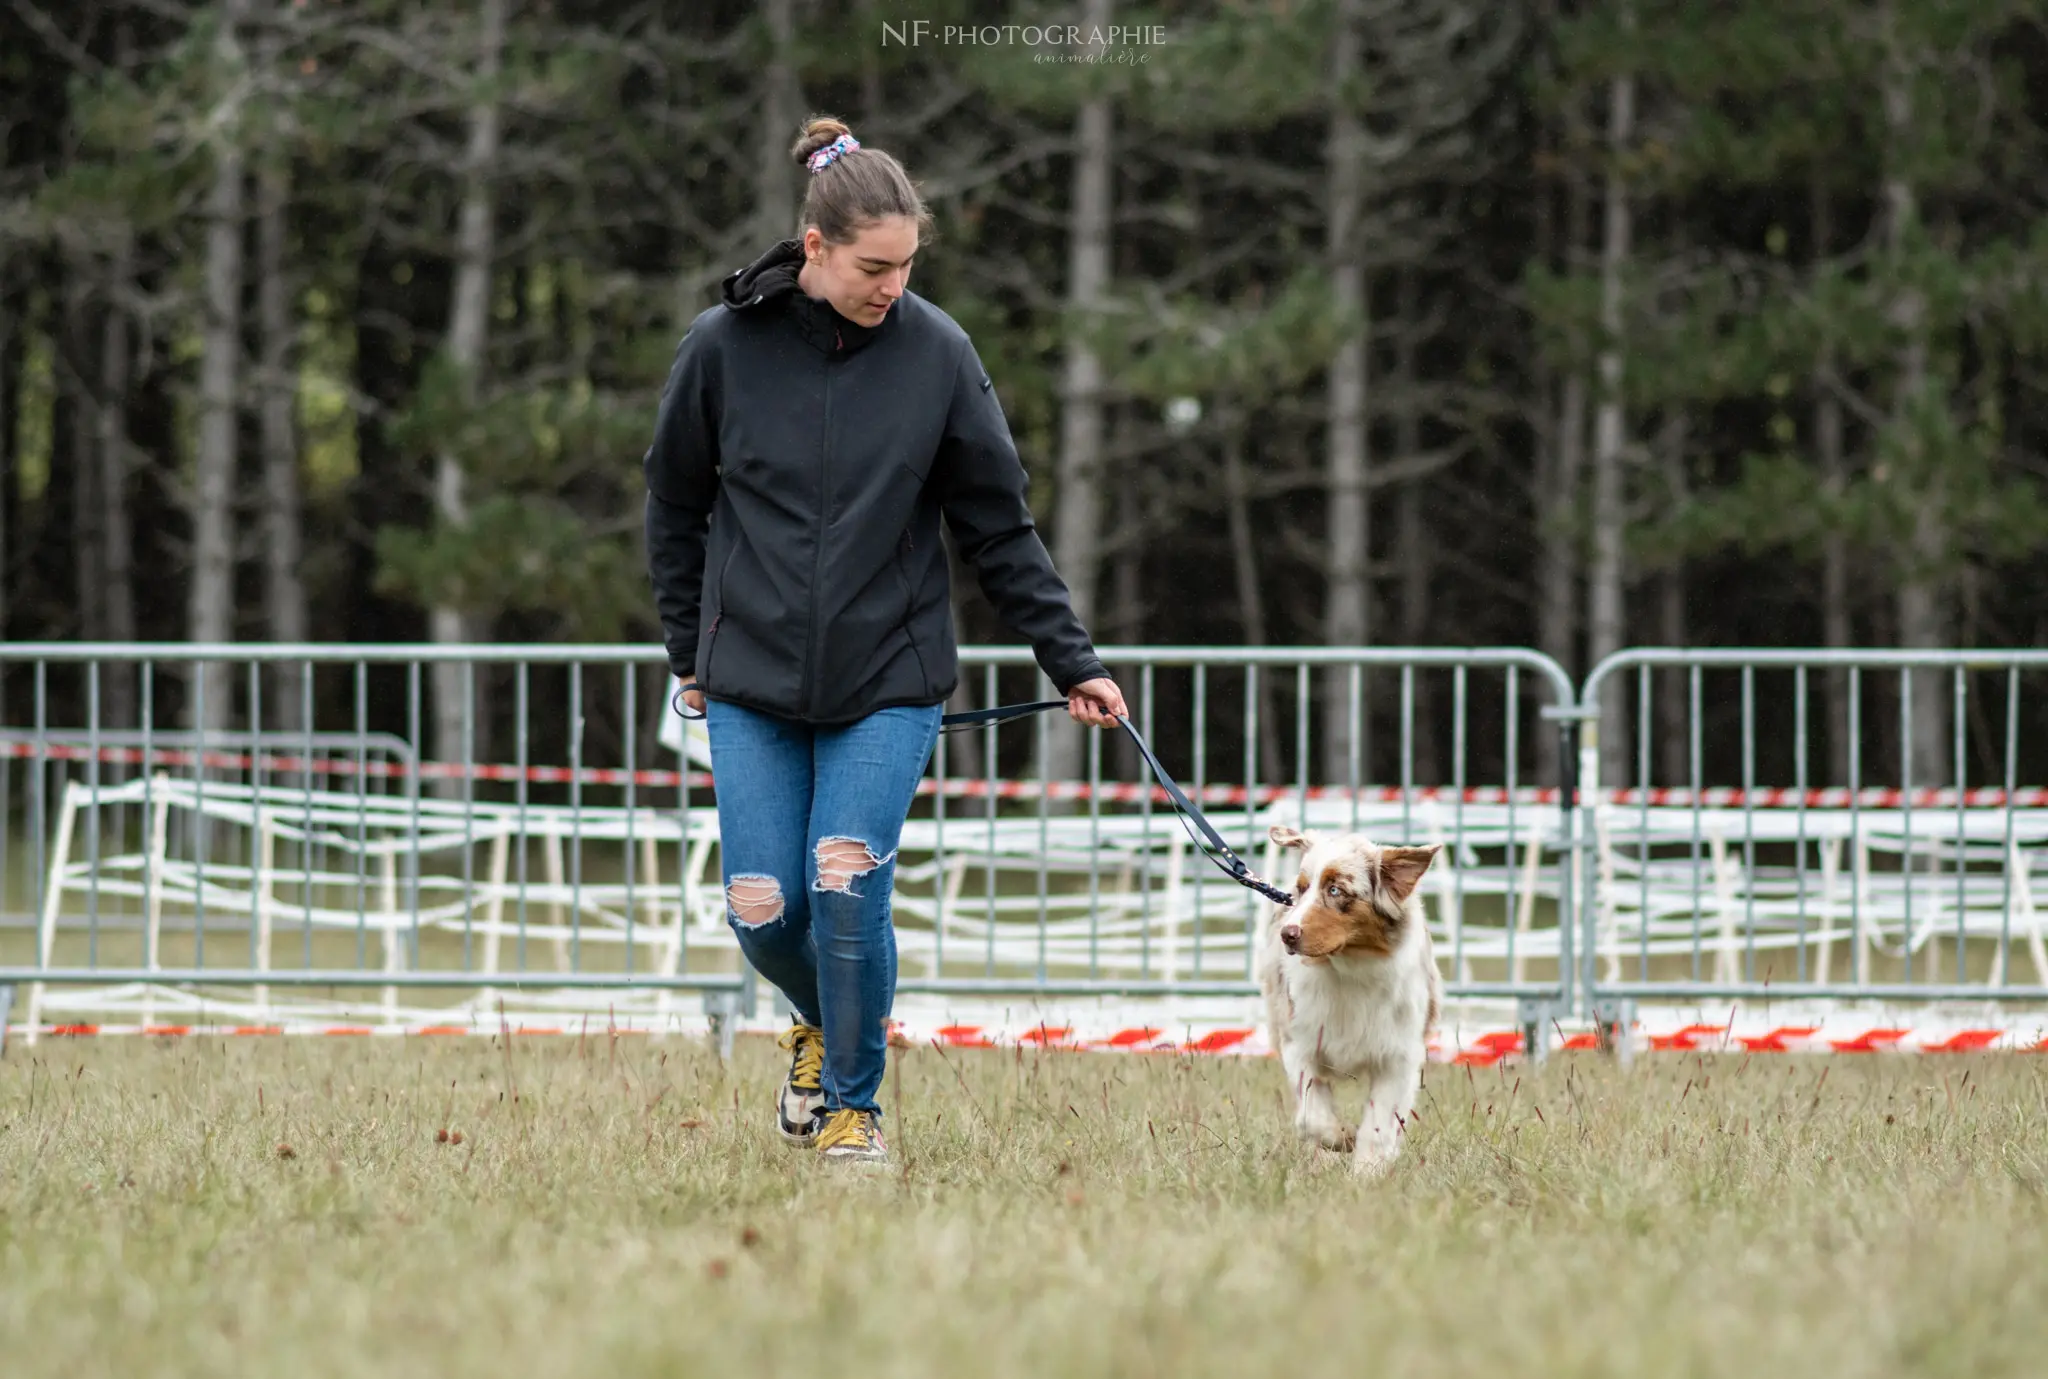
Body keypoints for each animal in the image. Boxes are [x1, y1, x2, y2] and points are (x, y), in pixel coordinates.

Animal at [1253, 823, 1449, 1180]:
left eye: (1335, 890)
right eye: (1301, 889)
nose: (1288, 934)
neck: (1349, 967)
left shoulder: (1398, 1055)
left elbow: (1379, 1123)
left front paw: (1366, 1173)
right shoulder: (1299, 1040)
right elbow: (1312, 1115)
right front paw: (1341, 1138)